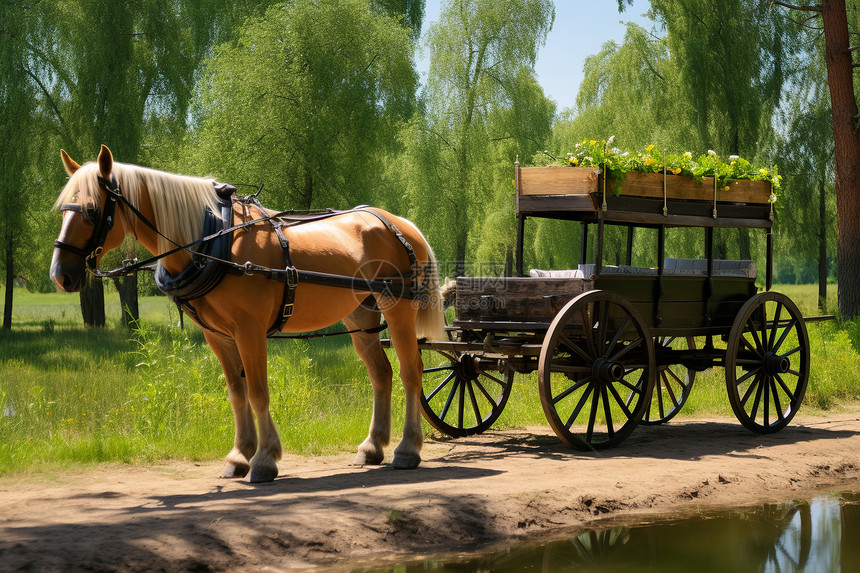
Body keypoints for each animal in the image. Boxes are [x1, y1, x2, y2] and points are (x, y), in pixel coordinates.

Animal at [50, 145, 446, 480]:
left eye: (91, 210)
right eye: (63, 209)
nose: (60, 275)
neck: (213, 242)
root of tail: (400, 223)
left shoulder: (249, 330)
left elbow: (257, 391)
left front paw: (264, 458)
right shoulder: (218, 335)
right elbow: (236, 392)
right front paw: (239, 455)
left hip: (398, 310)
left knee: (412, 371)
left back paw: (407, 449)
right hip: (360, 315)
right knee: (381, 374)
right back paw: (372, 447)